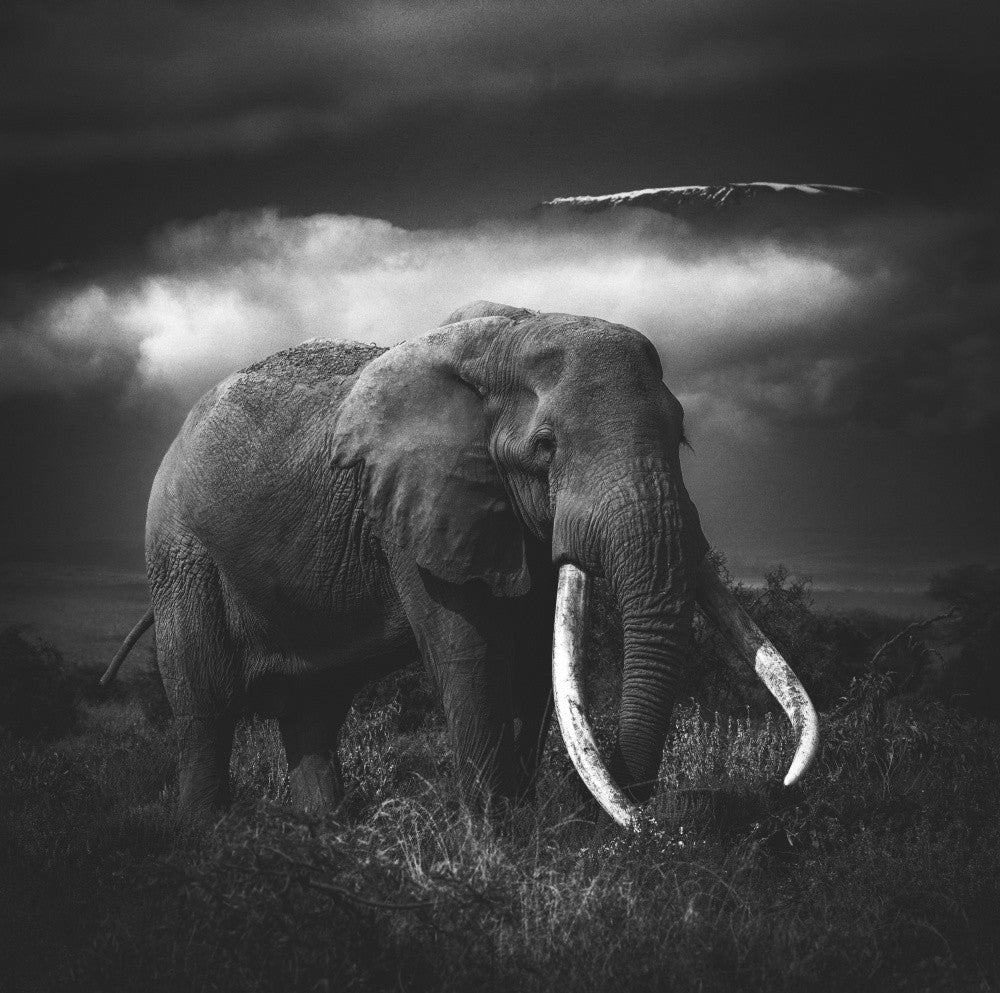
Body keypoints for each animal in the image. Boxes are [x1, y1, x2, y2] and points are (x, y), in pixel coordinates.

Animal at [102, 301, 818, 828]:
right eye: (545, 447)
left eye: (683, 437)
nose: (654, 815)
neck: (507, 339)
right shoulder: (411, 505)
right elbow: (469, 652)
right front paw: (495, 838)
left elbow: (531, 660)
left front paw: (521, 829)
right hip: (181, 554)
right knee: (206, 702)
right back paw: (205, 830)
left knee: (315, 705)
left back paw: (320, 829)